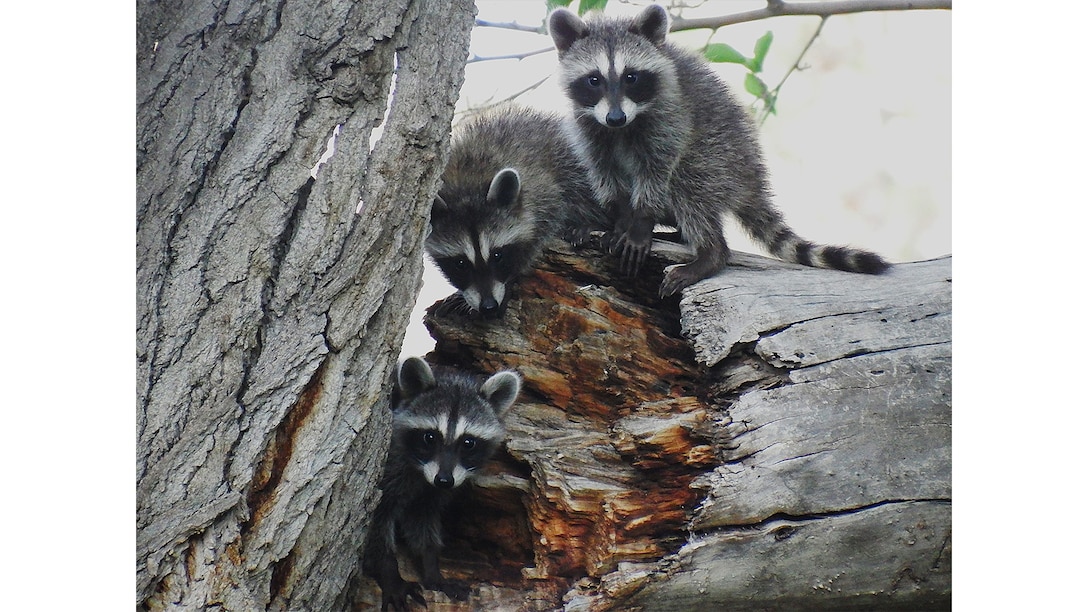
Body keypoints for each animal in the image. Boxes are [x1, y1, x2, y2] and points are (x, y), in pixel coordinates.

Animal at [362, 357, 521, 611]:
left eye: (468, 443)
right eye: (430, 437)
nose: (444, 480)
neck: (421, 472)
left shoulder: (434, 490)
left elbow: (422, 518)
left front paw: (431, 565)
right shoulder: (389, 467)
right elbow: (376, 521)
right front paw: (388, 570)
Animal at [427, 105, 599, 318]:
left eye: (497, 255)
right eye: (460, 263)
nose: (489, 306)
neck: (468, 181)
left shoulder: (544, 190)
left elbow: (544, 229)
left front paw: (513, 276)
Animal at [548, 4, 891, 297]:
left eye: (630, 77)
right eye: (594, 80)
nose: (616, 117)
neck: (621, 127)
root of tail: (752, 178)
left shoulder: (670, 116)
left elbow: (659, 168)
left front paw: (640, 222)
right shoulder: (589, 128)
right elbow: (603, 171)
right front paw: (620, 218)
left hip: (721, 155)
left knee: (688, 182)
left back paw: (709, 252)